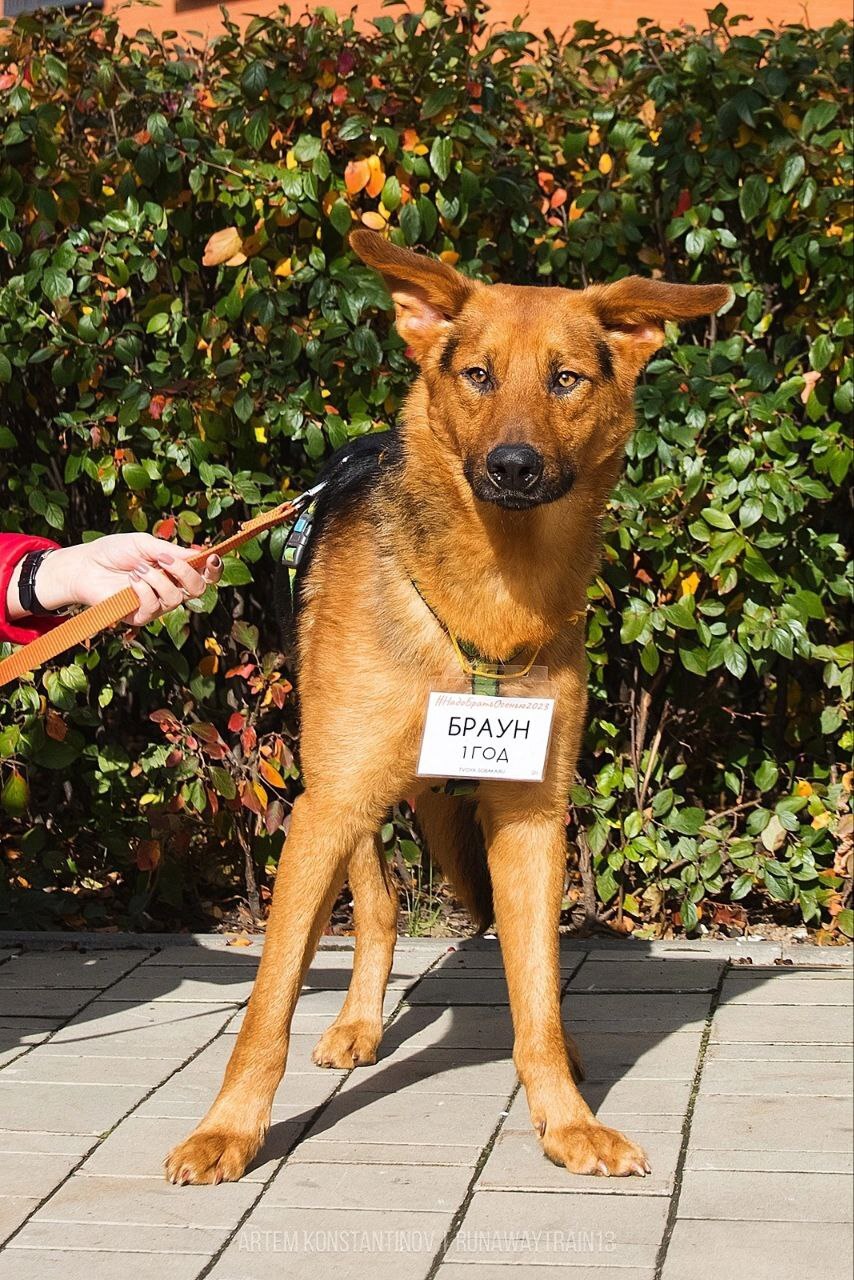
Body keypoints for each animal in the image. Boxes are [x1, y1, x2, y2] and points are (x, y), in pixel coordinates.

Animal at [165, 227, 727, 1177]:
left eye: (565, 379)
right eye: (477, 375)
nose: (513, 467)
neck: (489, 598)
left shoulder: (532, 818)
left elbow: (536, 995)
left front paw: (566, 1119)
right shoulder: (327, 806)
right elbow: (269, 1004)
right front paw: (228, 1129)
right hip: (345, 788)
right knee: (379, 905)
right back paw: (356, 1022)